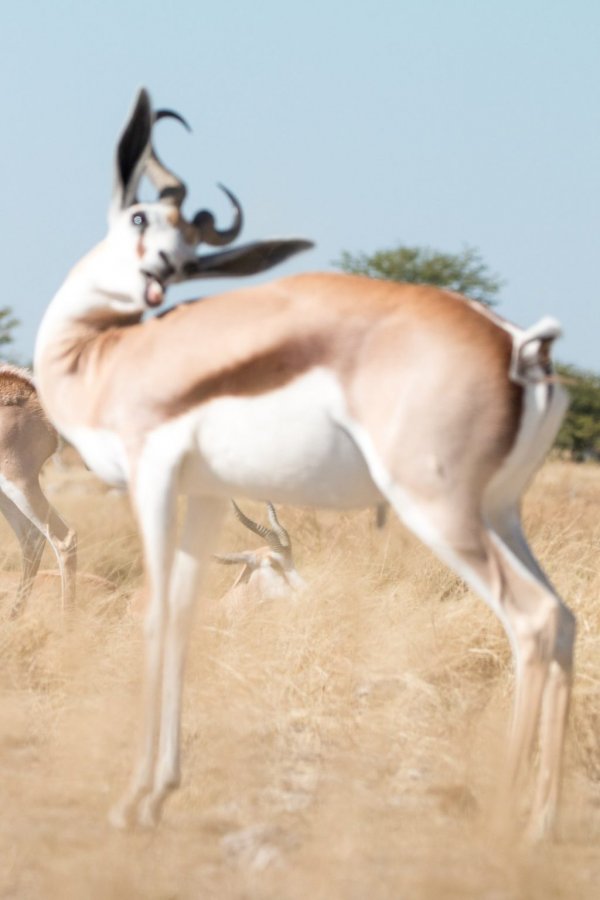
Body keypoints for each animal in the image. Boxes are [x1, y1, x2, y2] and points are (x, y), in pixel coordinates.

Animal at [34, 88, 576, 840]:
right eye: (141, 217)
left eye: (187, 238)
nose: (160, 272)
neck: (100, 357)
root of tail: (519, 346)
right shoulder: (205, 494)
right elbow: (182, 614)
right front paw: (159, 793)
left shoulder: (153, 478)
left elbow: (154, 615)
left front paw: (129, 800)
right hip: (501, 512)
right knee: (566, 618)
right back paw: (542, 823)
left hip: (440, 512)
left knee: (531, 620)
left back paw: (500, 817)